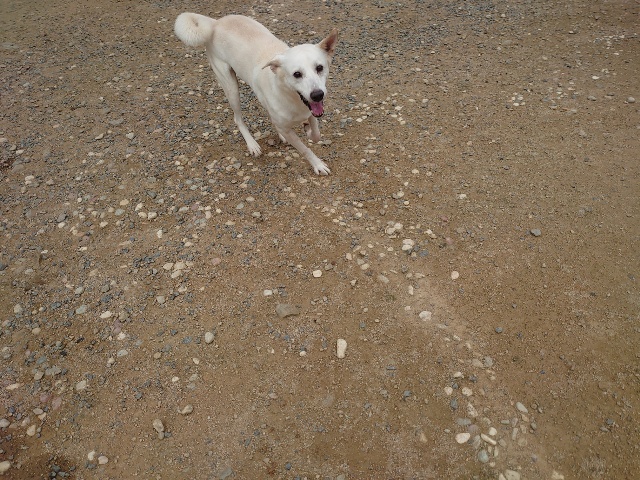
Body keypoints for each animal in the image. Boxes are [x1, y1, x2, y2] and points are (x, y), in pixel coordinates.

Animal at [174, 13, 338, 175]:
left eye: (319, 67)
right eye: (297, 74)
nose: (318, 95)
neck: (291, 96)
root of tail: (215, 23)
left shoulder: (311, 110)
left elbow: (316, 134)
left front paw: (308, 130)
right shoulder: (289, 128)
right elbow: (304, 149)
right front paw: (317, 164)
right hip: (231, 87)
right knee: (238, 119)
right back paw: (252, 144)